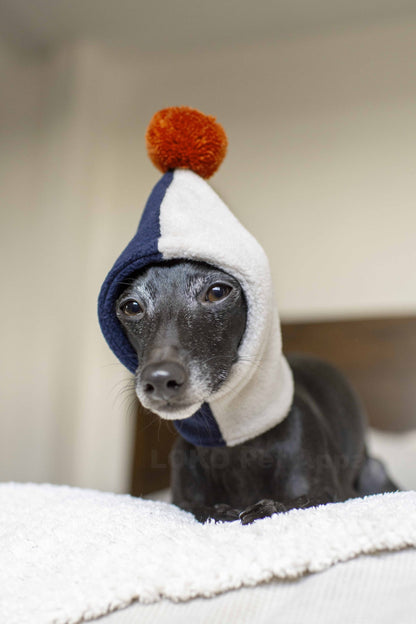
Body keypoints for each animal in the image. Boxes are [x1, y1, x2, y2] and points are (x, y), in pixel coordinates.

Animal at [115, 260, 398, 524]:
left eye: (217, 292)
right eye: (131, 306)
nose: (160, 379)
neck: (237, 440)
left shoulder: (332, 493)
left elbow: (300, 502)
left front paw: (265, 507)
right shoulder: (178, 500)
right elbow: (193, 507)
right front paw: (217, 510)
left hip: (374, 473)